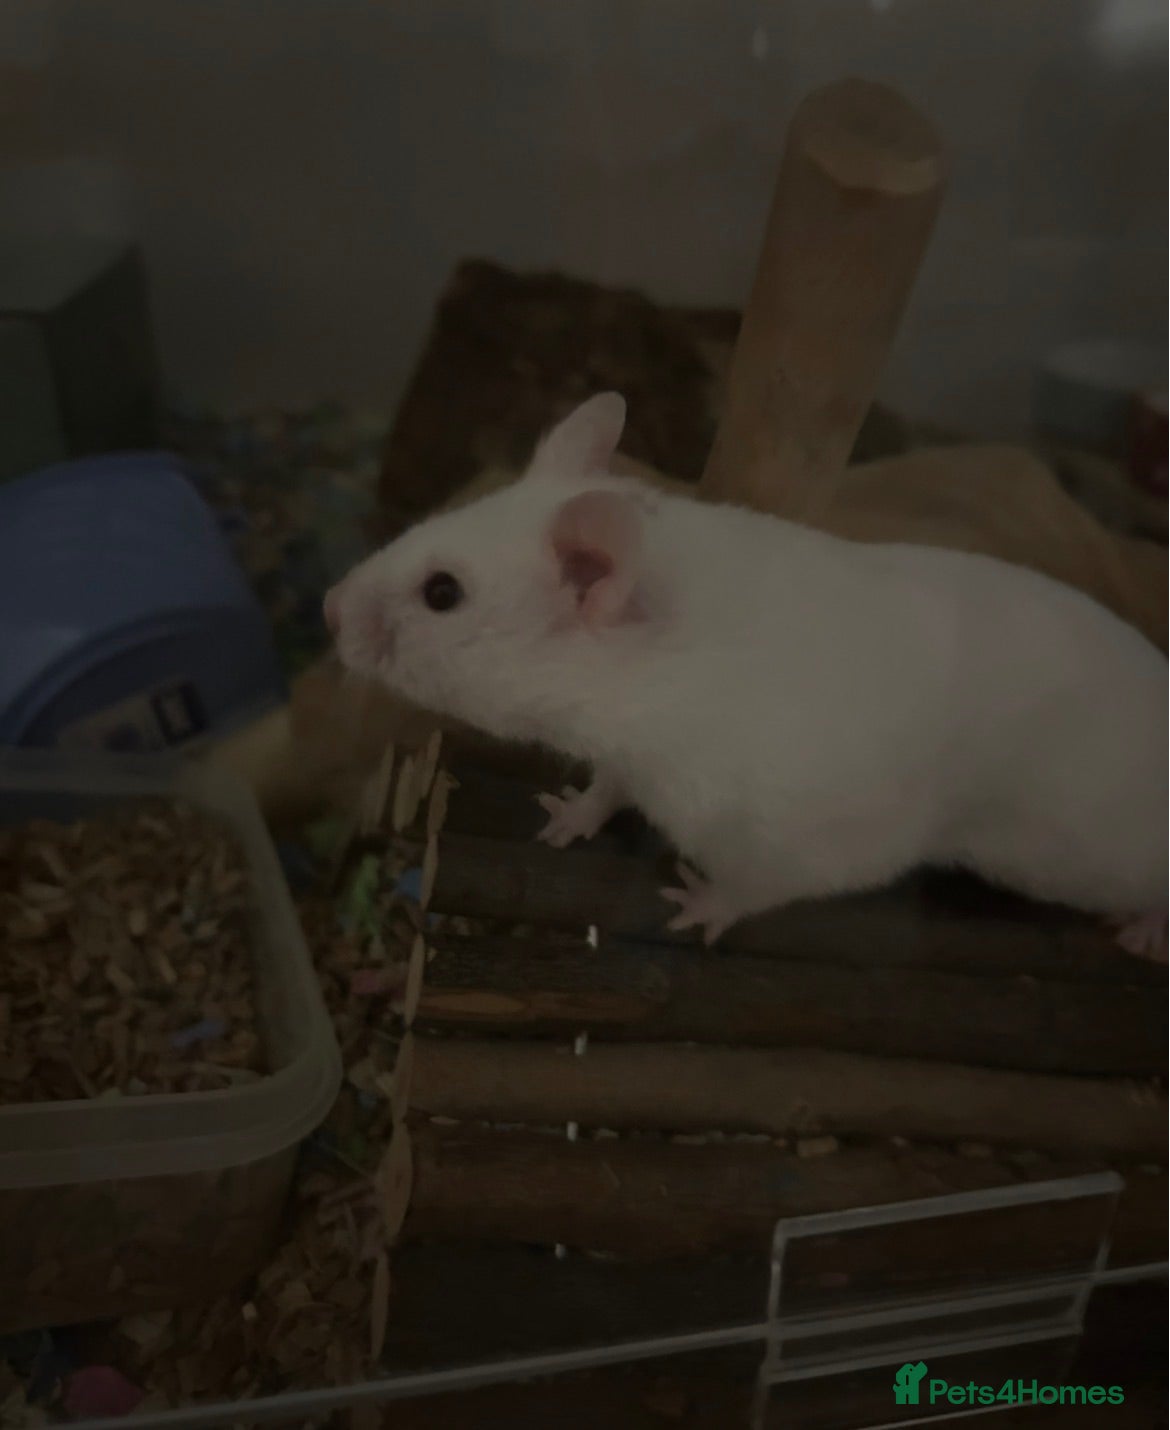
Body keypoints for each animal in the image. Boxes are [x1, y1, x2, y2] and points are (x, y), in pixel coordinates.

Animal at [326, 392, 1168, 958]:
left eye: (442, 593)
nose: (328, 609)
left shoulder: (805, 840)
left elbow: (754, 885)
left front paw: (694, 906)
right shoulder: (625, 757)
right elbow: (604, 789)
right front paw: (564, 818)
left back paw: (1138, 935)